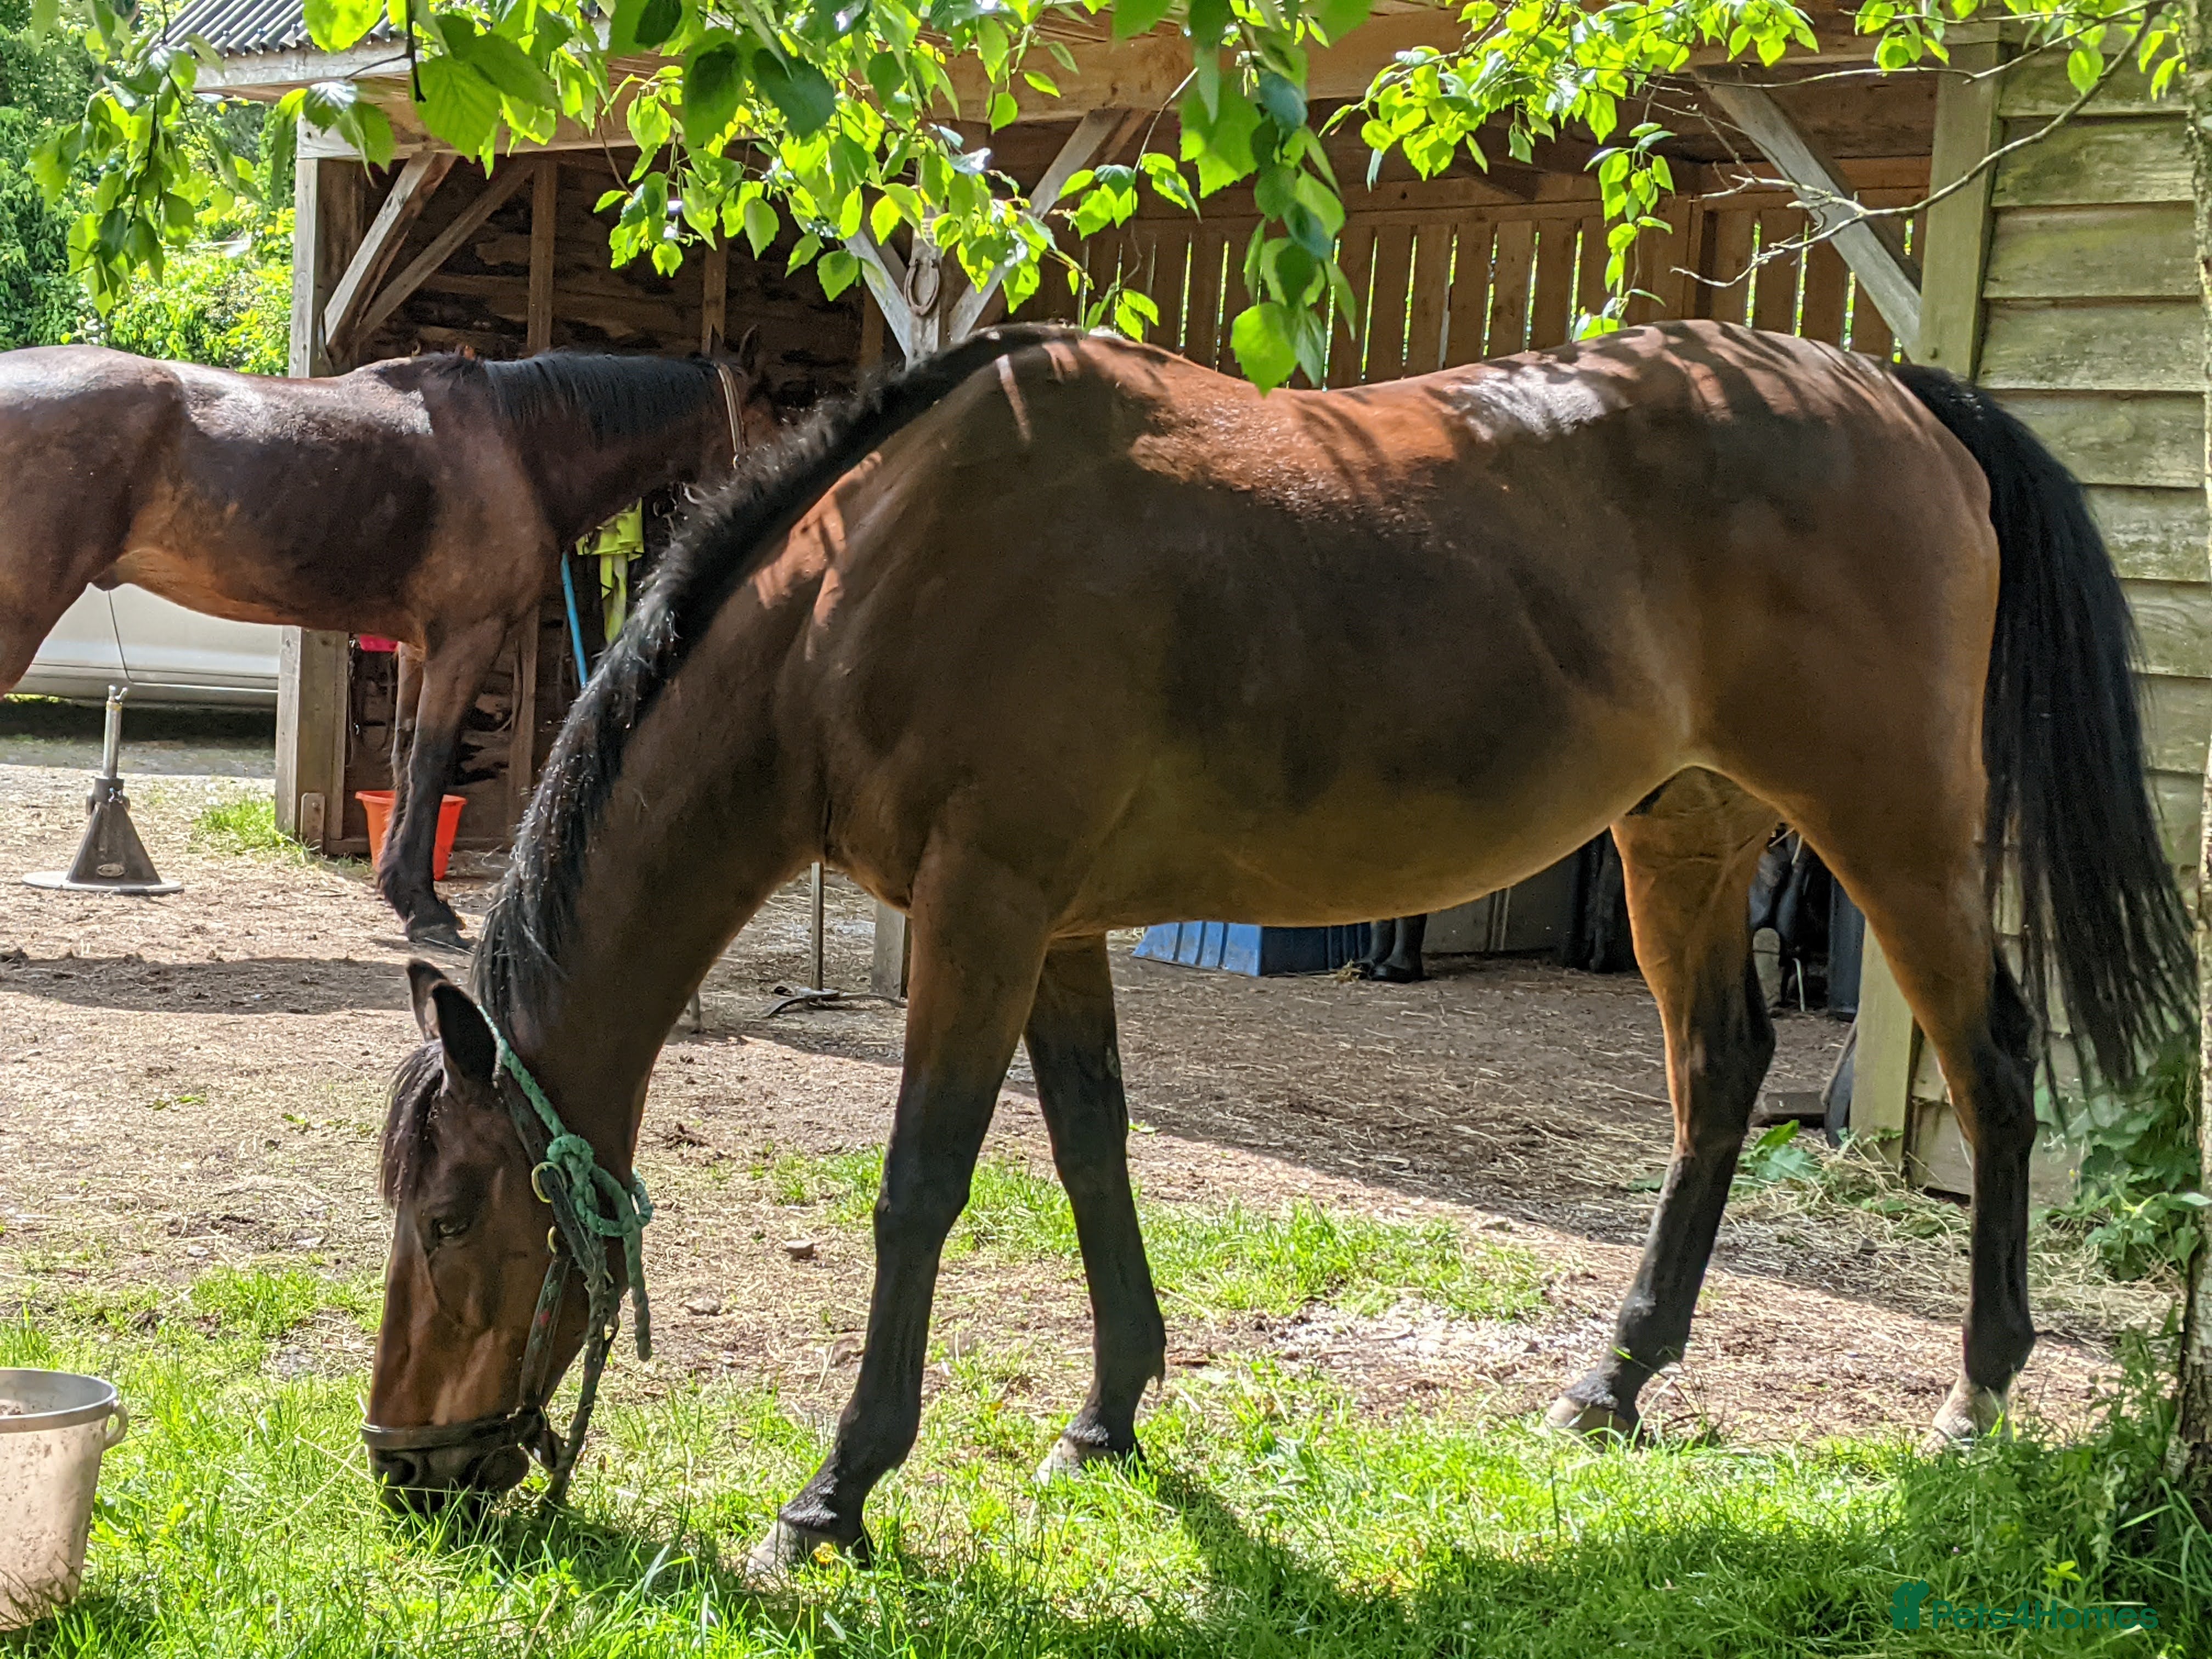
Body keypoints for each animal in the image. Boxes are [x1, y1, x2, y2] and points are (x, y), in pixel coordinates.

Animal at [0, 331, 777, 947]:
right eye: (776, 425)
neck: (517, 446)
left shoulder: (418, 647)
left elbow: (405, 760)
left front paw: (404, 891)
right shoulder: (467, 639)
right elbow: (434, 763)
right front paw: (428, 911)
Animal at [363, 320, 2191, 1574]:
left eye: (452, 1216)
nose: (407, 1473)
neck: (866, 585)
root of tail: (1904, 398)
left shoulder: (984, 904)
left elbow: (922, 1189)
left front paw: (836, 1493)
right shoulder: (1055, 923)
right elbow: (1091, 1150)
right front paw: (1110, 1414)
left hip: (1898, 833)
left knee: (1993, 1064)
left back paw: (1977, 1395)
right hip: (1688, 829)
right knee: (1717, 1076)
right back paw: (1613, 1383)